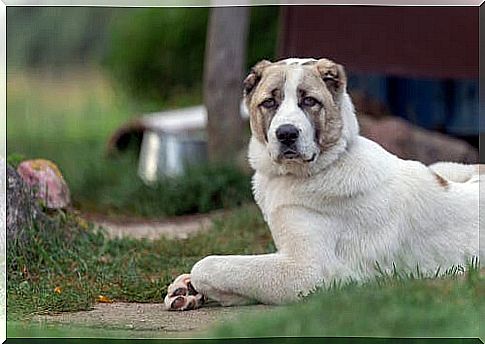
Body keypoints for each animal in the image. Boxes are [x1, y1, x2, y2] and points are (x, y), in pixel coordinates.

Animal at [164, 57, 480, 310]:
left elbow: (212, 265)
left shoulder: (308, 271)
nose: (286, 134)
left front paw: (203, 284)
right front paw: (186, 289)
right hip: (443, 167)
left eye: (309, 101)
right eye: (270, 102)